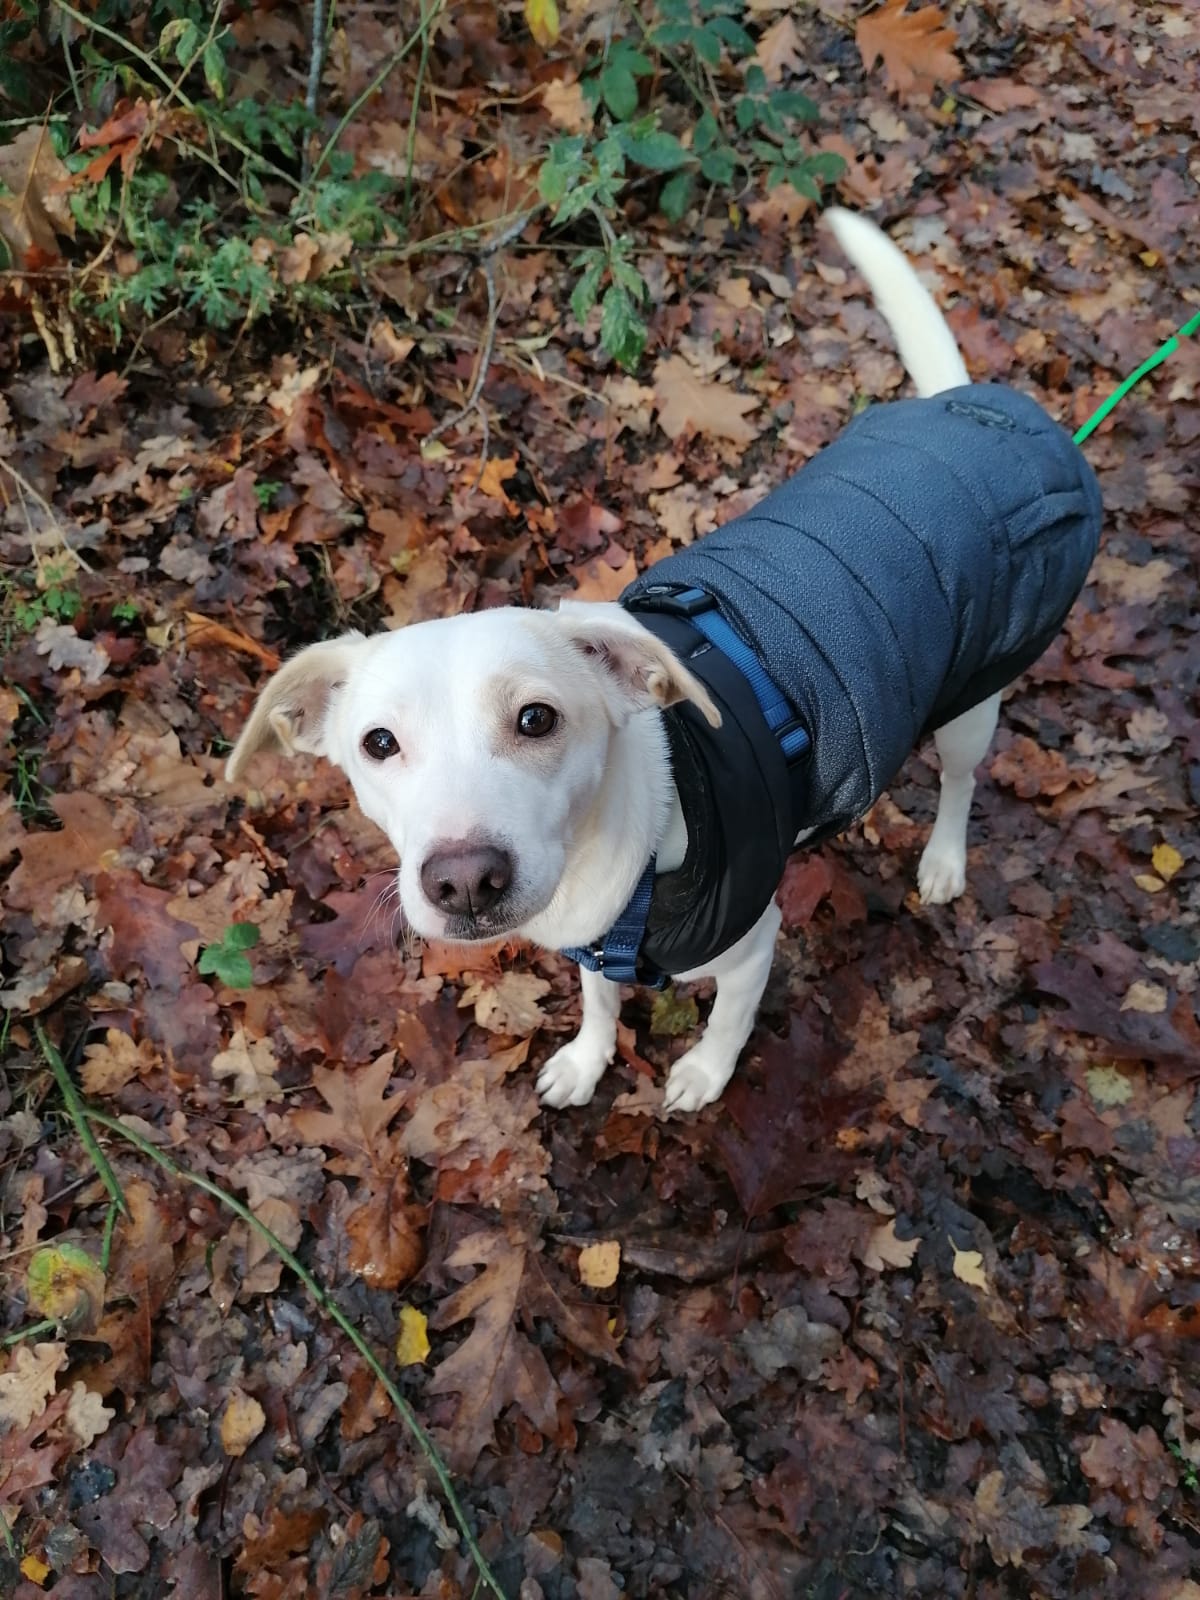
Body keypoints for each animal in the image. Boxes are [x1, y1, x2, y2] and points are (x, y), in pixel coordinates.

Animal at [226, 210, 1102, 1114]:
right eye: (378, 744)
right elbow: (601, 1001)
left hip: (977, 698)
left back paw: (944, 860)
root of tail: (964, 410)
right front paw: (587, 1059)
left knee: (962, 782)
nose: (464, 880)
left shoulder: (750, 948)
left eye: (535, 718)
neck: (631, 852)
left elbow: (725, 1023)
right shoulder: (593, 947)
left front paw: (703, 1076)